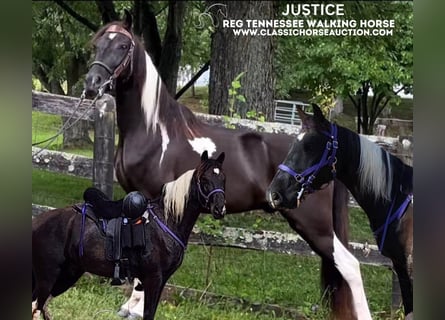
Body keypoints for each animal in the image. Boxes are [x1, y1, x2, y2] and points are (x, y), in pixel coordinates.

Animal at [32, 151, 225, 320]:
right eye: (204, 179)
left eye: (223, 178)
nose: (219, 209)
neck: (167, 221)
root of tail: (38, 221)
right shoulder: (154, 278)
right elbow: (147, 314)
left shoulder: (161, 280)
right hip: (48, 276)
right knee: (36, 307)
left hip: (68, 274)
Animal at [83, 12, 360, 320]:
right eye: (96, 45)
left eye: (122, 46)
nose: (92, 83)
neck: (155, 131)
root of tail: (329, 157)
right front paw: (130, 306)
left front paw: (136, 307)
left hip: (315, 224)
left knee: (350, 266)